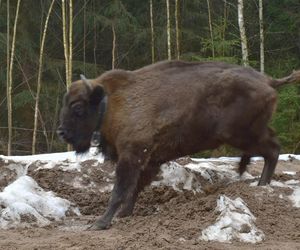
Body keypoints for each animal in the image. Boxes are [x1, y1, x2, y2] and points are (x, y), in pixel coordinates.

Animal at [56, 59, 300, 229]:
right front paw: (125, 214)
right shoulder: (149, 161)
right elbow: (133, 188)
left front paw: (100, 223)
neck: (111, 103)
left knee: (272, 150)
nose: (61, 132)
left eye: (77, 107)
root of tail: (268, 81)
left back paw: (261, 185)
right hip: (249, 133)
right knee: (268, 148)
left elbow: (120, 190)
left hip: (240, 134)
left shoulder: (132, 156)